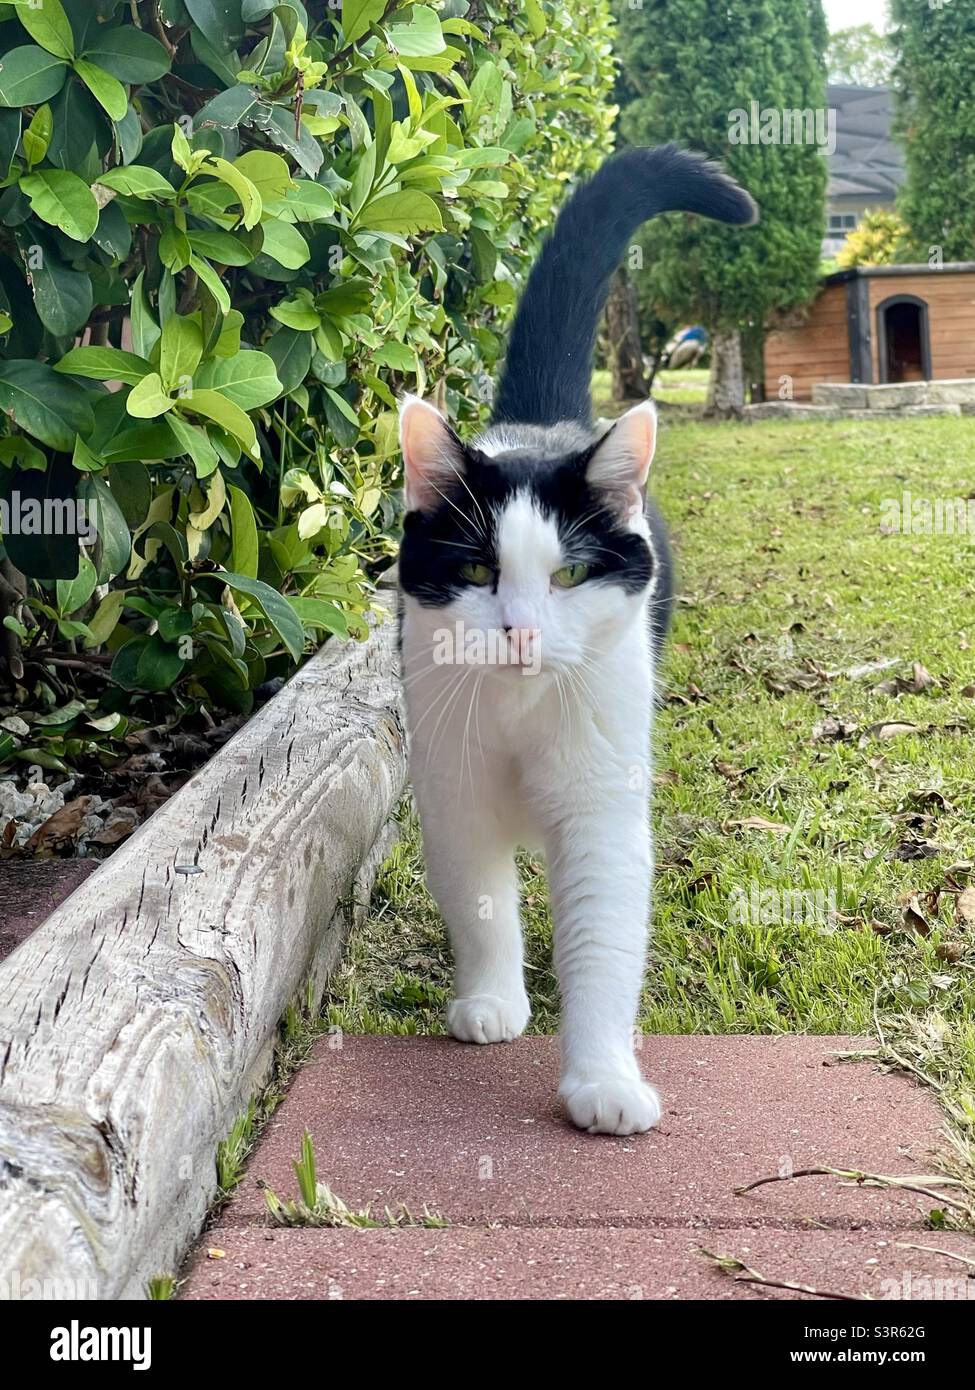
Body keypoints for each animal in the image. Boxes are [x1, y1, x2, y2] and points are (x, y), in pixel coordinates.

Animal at [395, 146, 751, 1134]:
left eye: (566, 576)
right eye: (480, 571)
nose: (518, 633)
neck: (520, 711)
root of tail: (544, 425)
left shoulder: (601, 806)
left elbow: (601, 935)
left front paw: (603, 1079)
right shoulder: (452, 791)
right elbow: (480, 901)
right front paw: (491, 1001)